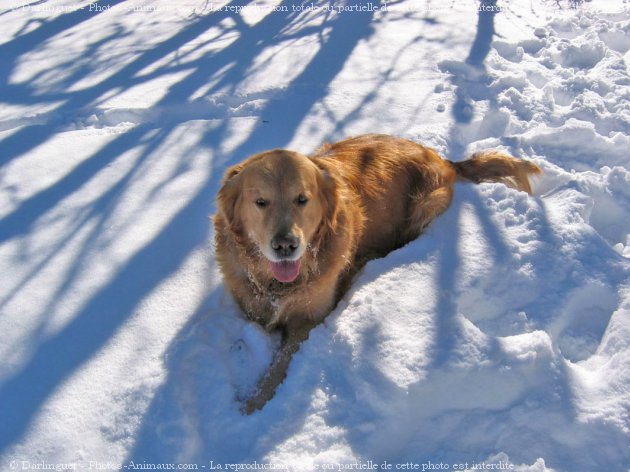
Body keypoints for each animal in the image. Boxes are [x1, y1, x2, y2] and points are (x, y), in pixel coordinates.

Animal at [214, 134, 544, 412]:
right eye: (260, 202)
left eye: (302, 199)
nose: (285, 245)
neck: (275, 283)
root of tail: (442, 158)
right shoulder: (249, 303)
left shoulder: (308, 321)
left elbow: (281, 364)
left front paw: (254, 403)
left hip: (425, 204)